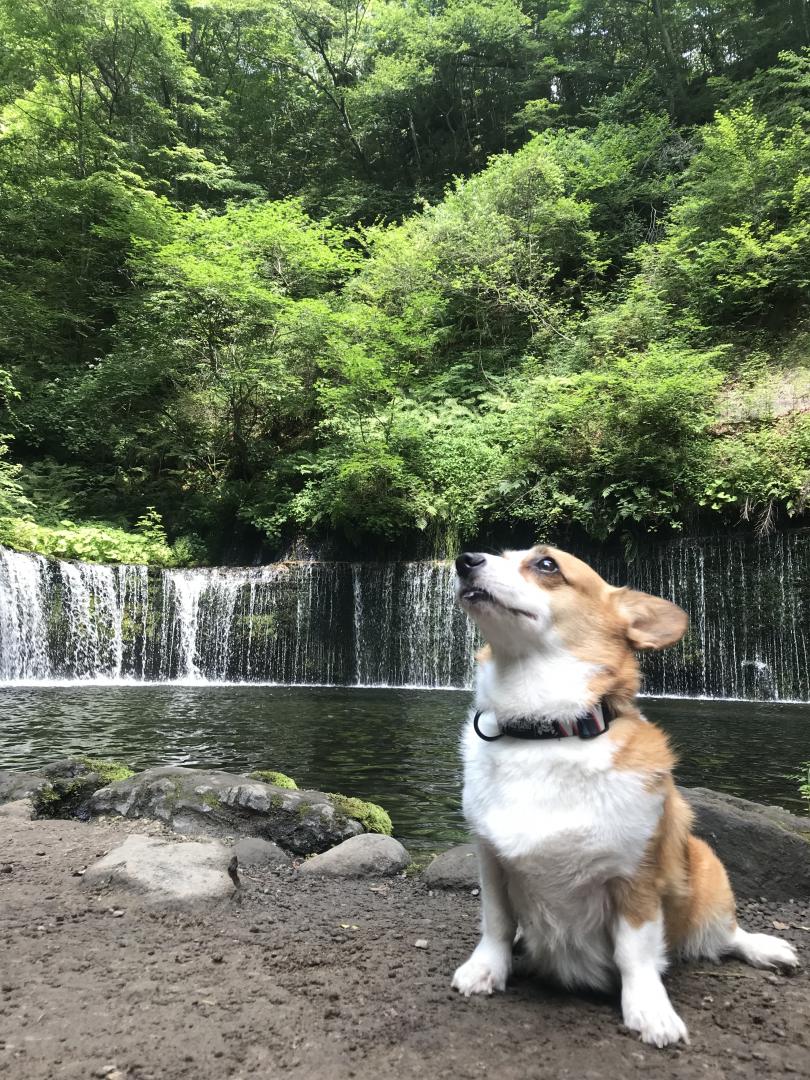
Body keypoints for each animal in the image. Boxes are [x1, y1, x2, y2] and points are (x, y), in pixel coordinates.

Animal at [453, 548, 803, 1045]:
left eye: (546, 564)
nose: (464, 560)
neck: (546, 732)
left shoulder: (635, 876)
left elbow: (634, 953)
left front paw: (650, 1011)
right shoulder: (491, 861)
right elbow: (497, 924)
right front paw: (485, 970)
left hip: (707, 867)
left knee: (723, 934)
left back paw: (765, 948)